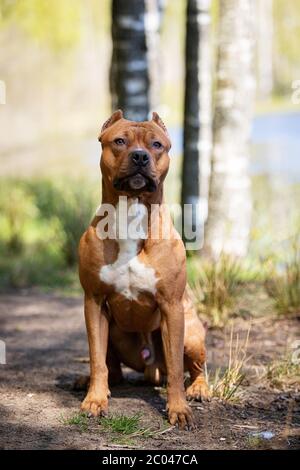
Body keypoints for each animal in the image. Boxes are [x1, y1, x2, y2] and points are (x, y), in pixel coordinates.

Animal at [78, 111, 209, 430]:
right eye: (119, 141)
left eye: (157, 144)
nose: (140, 156)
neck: (131, 215)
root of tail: (152, 373)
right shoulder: (93, 302)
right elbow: (96, 359)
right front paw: (95, 400)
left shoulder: (171, 307)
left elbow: (175, 366)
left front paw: (179, 409)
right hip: (112, 331)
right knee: (111, 368)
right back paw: (90, 383)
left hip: (192, 333)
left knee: (194, 368)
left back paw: (198, 389)